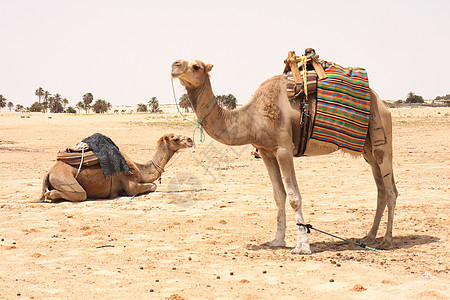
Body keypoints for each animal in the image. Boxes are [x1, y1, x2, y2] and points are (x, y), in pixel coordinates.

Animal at [42, 134, 195, 202]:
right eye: (175, 138)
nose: (190, 140)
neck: (140, 169)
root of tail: (50, 171)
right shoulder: (130, 182)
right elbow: (153, 186)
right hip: (64, 178)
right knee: (79, 194)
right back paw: (49, 196)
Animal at [171, 56, 398, 253]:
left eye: (196, 66)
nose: (174, 64)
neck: (250, 118)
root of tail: (381, 102)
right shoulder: (266, 151)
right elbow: (279, 195)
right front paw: (277, 240)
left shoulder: (283, 148)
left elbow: (294, 197)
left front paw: (302, 247)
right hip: (368, 149)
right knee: (380, 188)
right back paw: (369, 236)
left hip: (381, 134)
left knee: (391, 189)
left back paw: (387, 240)